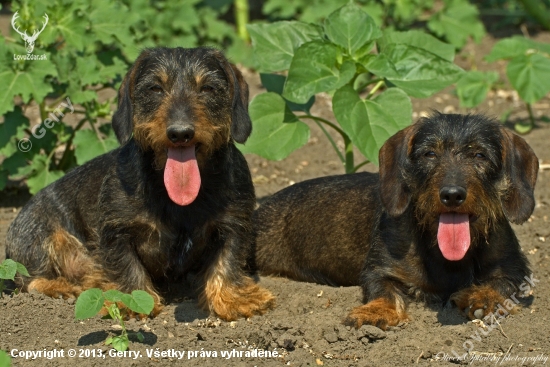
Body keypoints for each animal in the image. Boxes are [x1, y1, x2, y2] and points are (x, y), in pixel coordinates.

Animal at [6, 47, 276, 320]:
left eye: (208, 88)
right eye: (155, 88)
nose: (180, 133)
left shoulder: (234, 224)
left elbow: (227, 259)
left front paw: (233, 297)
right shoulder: (116, 231)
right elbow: (125, 265)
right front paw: (127, 300)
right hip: (42, 236)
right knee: (29, 280)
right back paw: (61, 287)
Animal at [254, 113, 540, 330]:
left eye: (479, 155)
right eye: (429, 154)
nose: (451, 194)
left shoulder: (514, 267)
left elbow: (502, 282)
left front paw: (482, 297)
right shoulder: (380, 268)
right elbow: (383, 289)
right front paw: (376, 312)